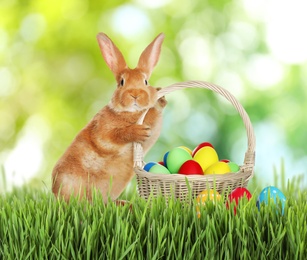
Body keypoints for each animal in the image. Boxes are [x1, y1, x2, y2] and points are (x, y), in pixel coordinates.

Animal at [53, 32, 168, 202]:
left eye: (146, 81)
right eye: (122, 82)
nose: (135, 94)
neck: (131, 112)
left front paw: (161, 98)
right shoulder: (103, 132)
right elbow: (117, 134)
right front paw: (139, 132)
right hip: (70, 183)